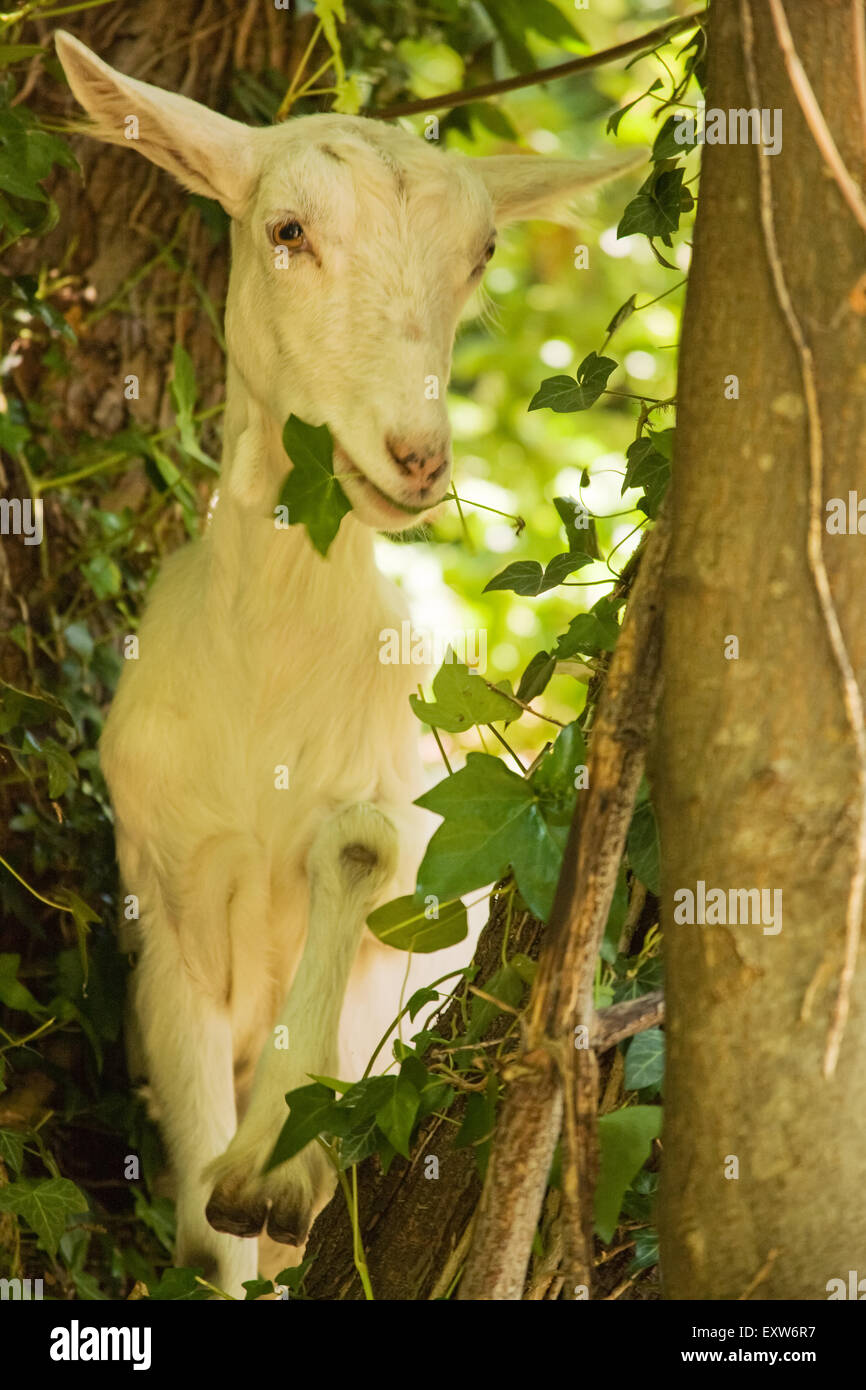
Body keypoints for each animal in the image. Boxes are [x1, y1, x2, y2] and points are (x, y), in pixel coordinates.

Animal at [55, 27, 636, 1295]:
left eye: (477, 255)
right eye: (286, 231)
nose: (415, 455)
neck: (265, 686)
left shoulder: (409, 915)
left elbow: (363, 843)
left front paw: (276, 1162)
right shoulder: (163, 901)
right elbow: (203, 1233)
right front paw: (236, 1188)